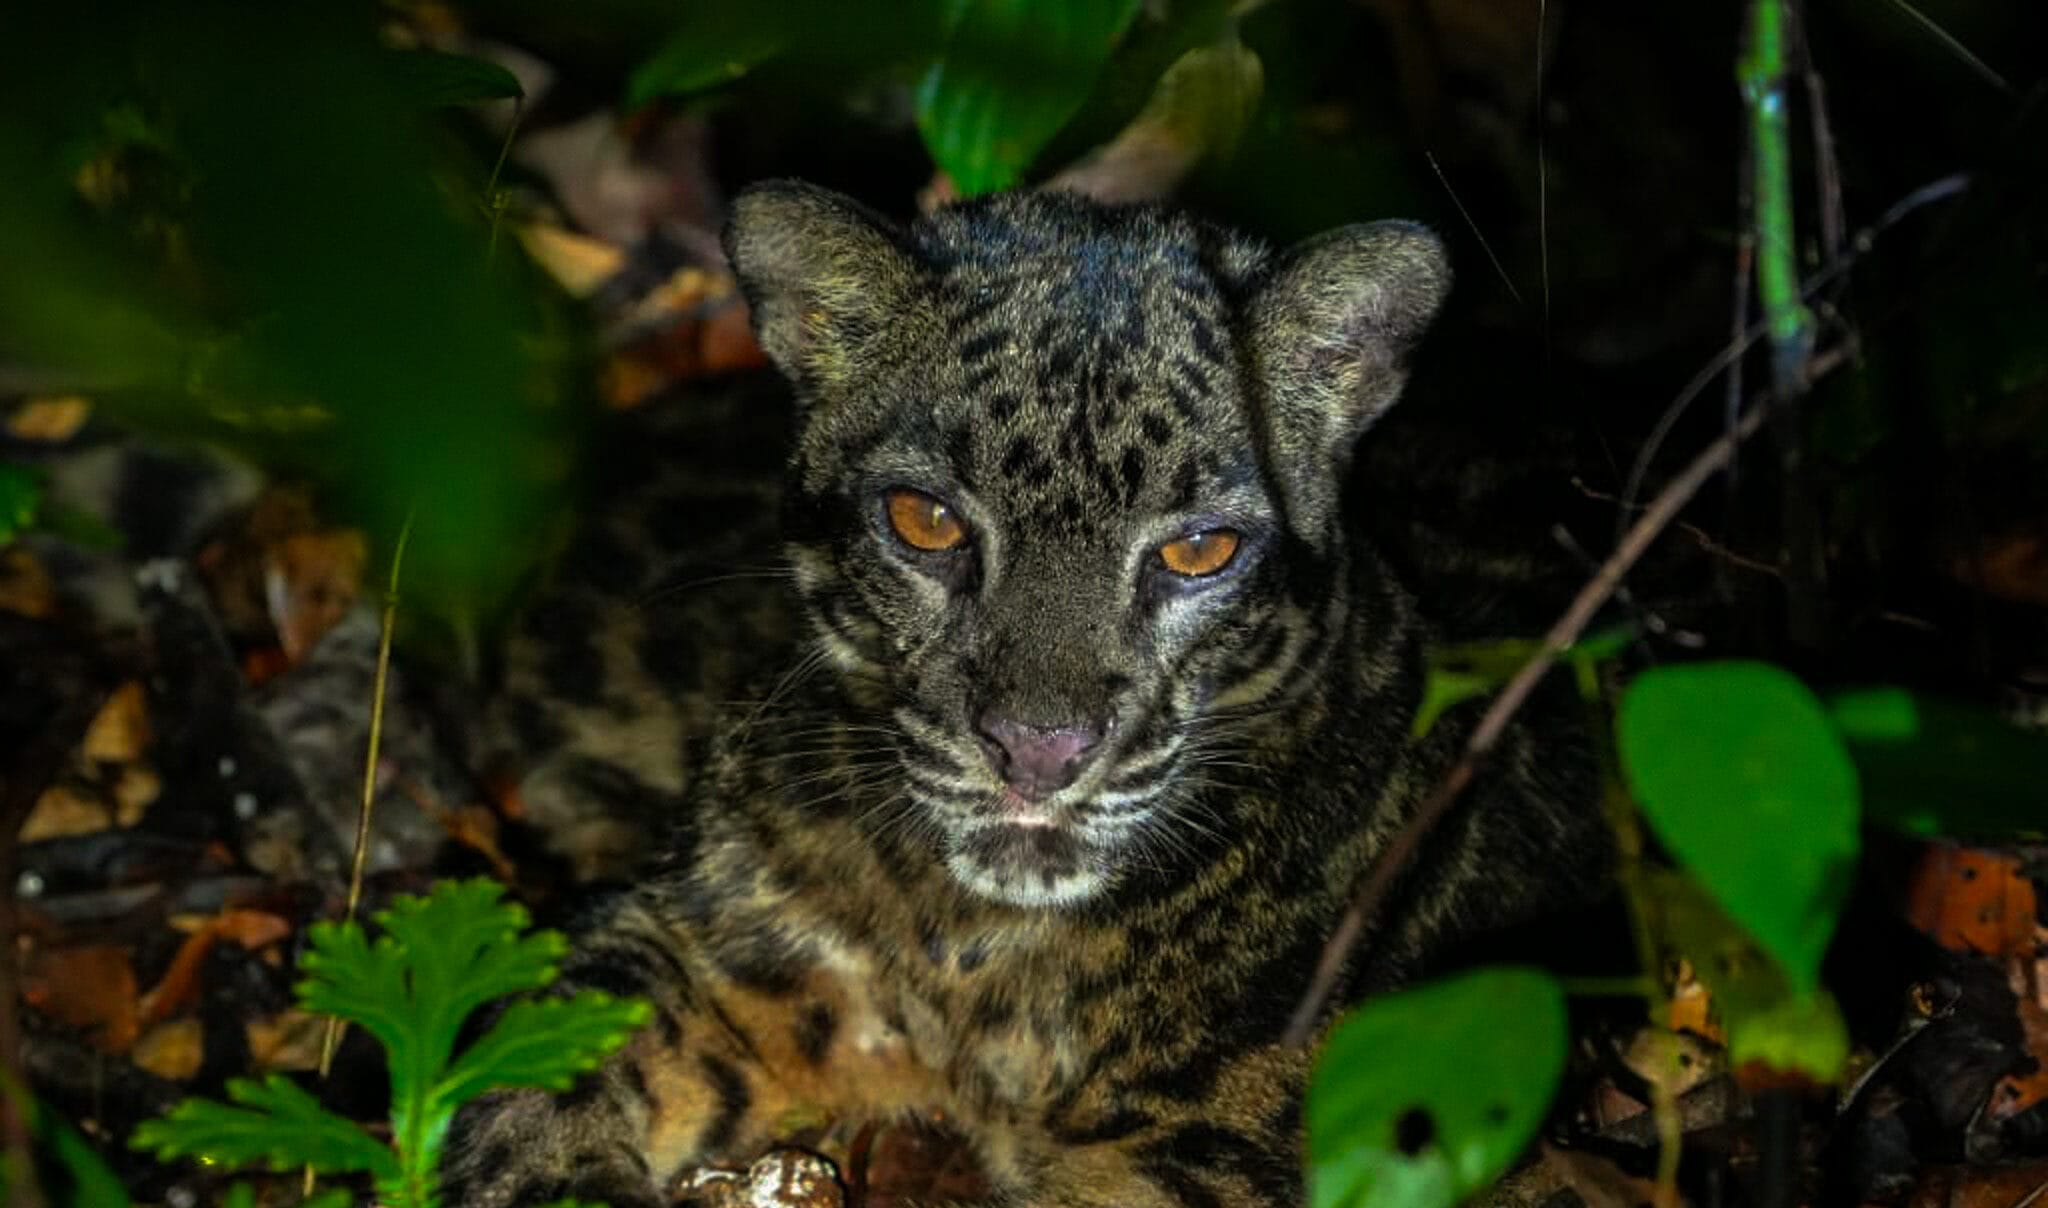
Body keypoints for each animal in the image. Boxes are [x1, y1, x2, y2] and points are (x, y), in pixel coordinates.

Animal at [443, 181, 1607, 1207]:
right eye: (923, 521)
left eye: (1199, 550)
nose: (1039, 750)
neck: (969, 958)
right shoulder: (707, 942)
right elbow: (536, 1056)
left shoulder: (1234, 1153)